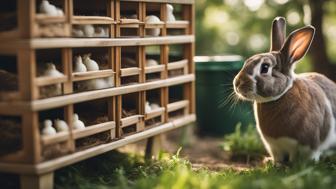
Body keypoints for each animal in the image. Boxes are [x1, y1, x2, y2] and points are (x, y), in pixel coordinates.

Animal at [234, 17, 336, 163]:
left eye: (265, 67)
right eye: (247, 61)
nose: (237, 83)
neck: (280, 96)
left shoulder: (308, 145)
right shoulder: (273, 146)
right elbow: (278, 156)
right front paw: (274, 163)